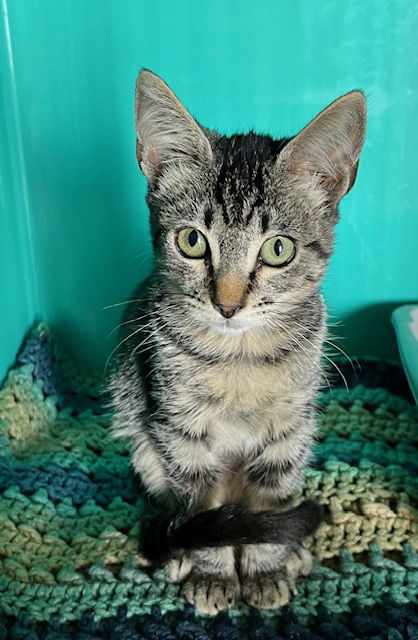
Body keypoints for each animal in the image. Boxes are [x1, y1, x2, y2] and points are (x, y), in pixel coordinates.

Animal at [109, 70, 368, 616]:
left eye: (279, 249)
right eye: (192, 241)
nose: (227, 305)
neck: (239, 359)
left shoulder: (289, 432)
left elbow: (268, 503)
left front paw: (266, 569)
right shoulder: (180, 432)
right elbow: (202, 507)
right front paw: (213, 574)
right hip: (141, 436)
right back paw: (179, 555)